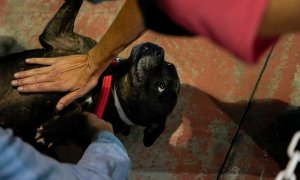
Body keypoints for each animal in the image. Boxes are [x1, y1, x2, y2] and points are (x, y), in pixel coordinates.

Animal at [0, 0, 179, 149]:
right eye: (169, 64)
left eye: (162, 86)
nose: (159, 50)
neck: (107, 87)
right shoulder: (61, 36)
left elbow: (79, 117)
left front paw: (55, 129)